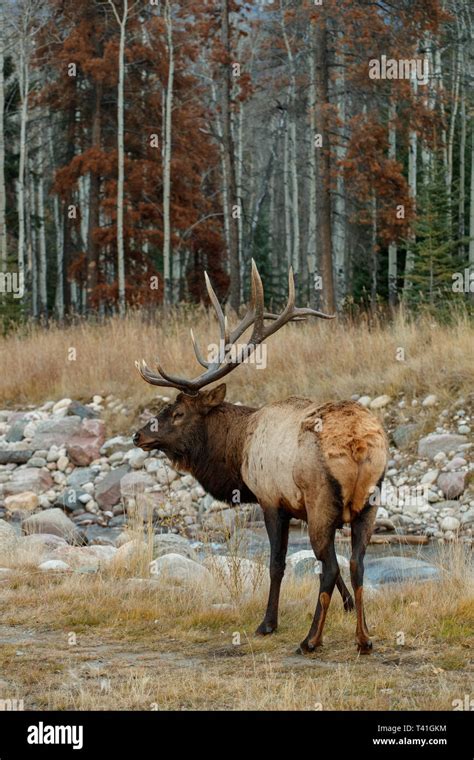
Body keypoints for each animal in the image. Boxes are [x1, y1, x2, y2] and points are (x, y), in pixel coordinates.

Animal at [134, 262, 388, 652]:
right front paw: (347, 608)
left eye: (178, 413)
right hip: (369, 505)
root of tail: (359, 445)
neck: (237, 451)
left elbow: (277, 564)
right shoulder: (298, 508)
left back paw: (310, 640)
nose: (139, 434)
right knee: (357, 563)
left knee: (330, 566)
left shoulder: (271, 499)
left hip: (321, 500)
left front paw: (268, 623)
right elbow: (333, 568)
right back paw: (363, 639)